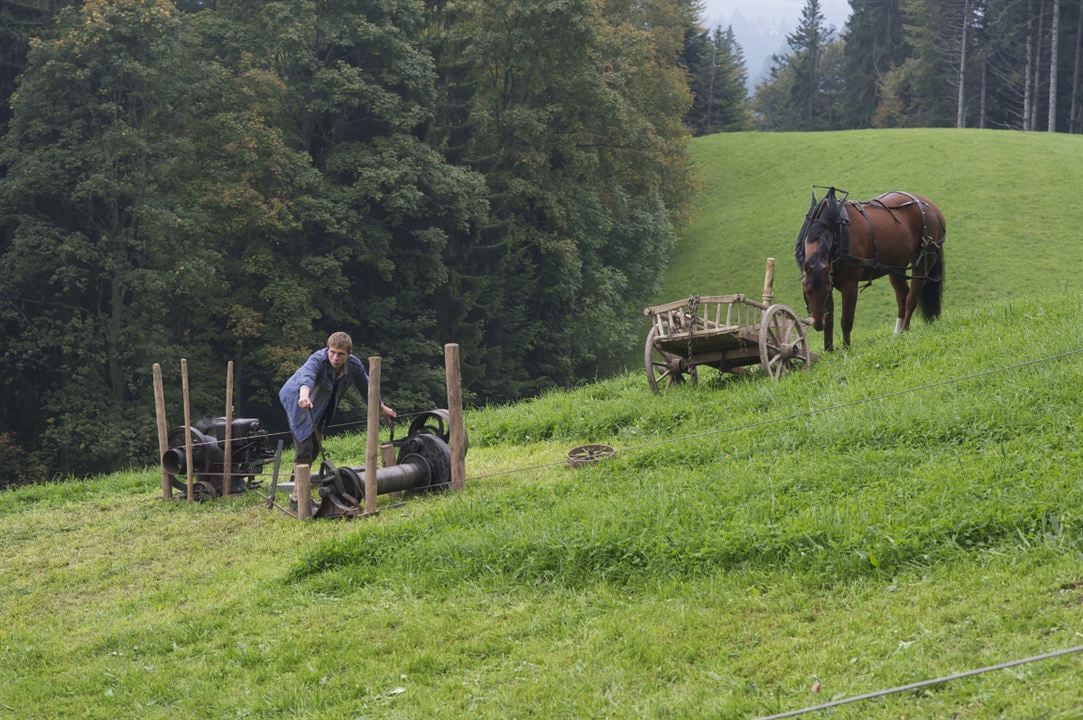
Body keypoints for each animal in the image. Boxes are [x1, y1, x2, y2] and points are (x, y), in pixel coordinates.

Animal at [792, 188, 944, 350]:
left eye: (824, 292)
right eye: (807, 291)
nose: (818, 325)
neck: (835, 230)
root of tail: (930, 206)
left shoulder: (849, 285)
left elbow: (846, 320)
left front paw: (846, 348)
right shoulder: (829, 280)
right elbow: (830, 320)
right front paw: (829, 349)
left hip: (923, 263)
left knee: (911, 299)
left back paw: (905, 329)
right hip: (896, 267)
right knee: (902, 296)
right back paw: (898, 332)